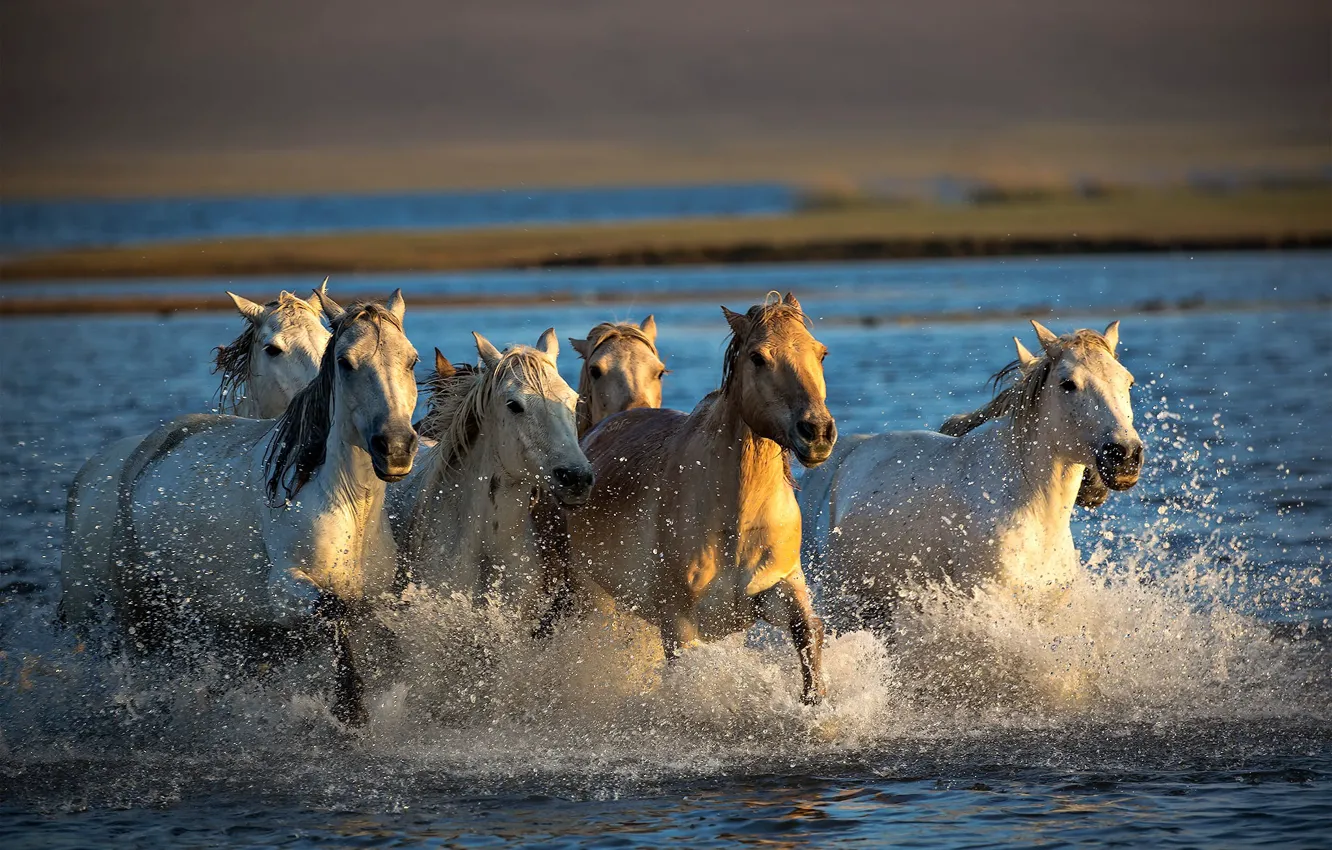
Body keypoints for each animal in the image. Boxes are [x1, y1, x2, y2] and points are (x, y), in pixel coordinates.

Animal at [98, 290, 418, 725]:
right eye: (345, 362)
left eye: (412, 360)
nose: (396, 448)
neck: (349, 505)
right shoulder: (285, 588)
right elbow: (334, 612)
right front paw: (350, 708)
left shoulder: (375, 594)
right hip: (140, 603)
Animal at [567, 293, 836, 705]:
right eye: (758, 357)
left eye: (821, 353)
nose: (818, 431)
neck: (736, 517)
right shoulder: (679, 624)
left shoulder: (779, 585)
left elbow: (808, 631)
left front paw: (814, 700)